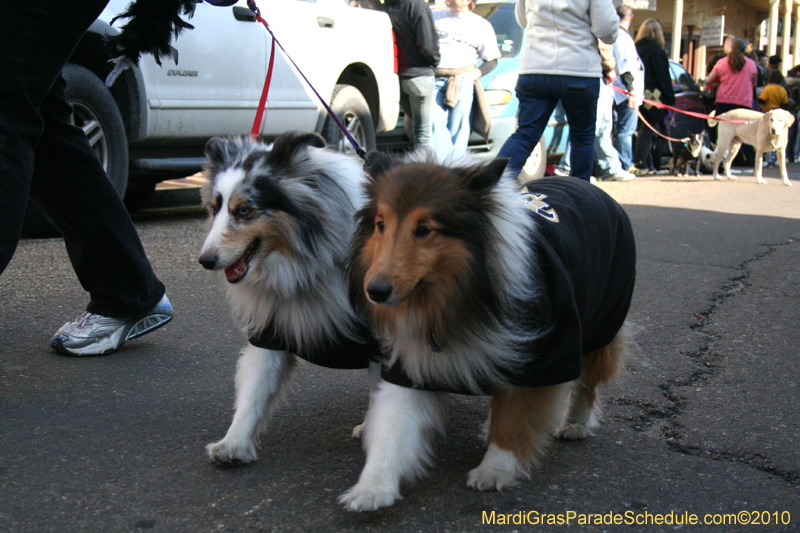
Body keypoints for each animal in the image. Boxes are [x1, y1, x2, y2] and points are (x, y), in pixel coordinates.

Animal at [197, 131, 378, 464]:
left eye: (244, 210)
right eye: (215, 208)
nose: (206, 261)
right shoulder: (272, 327)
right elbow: (254, 389)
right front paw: (232, 444)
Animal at [344, 152, 636, 510]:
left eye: (424, 229)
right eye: (380, 225)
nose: (376, 291)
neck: (457, 298)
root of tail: (585, 183)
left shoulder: (541, 357)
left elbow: (516, 418)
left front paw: (495, 469)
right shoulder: (411, 364)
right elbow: (392, 430)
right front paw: (372, 487)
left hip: (601, 322)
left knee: (588, 383)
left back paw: (575, 423)